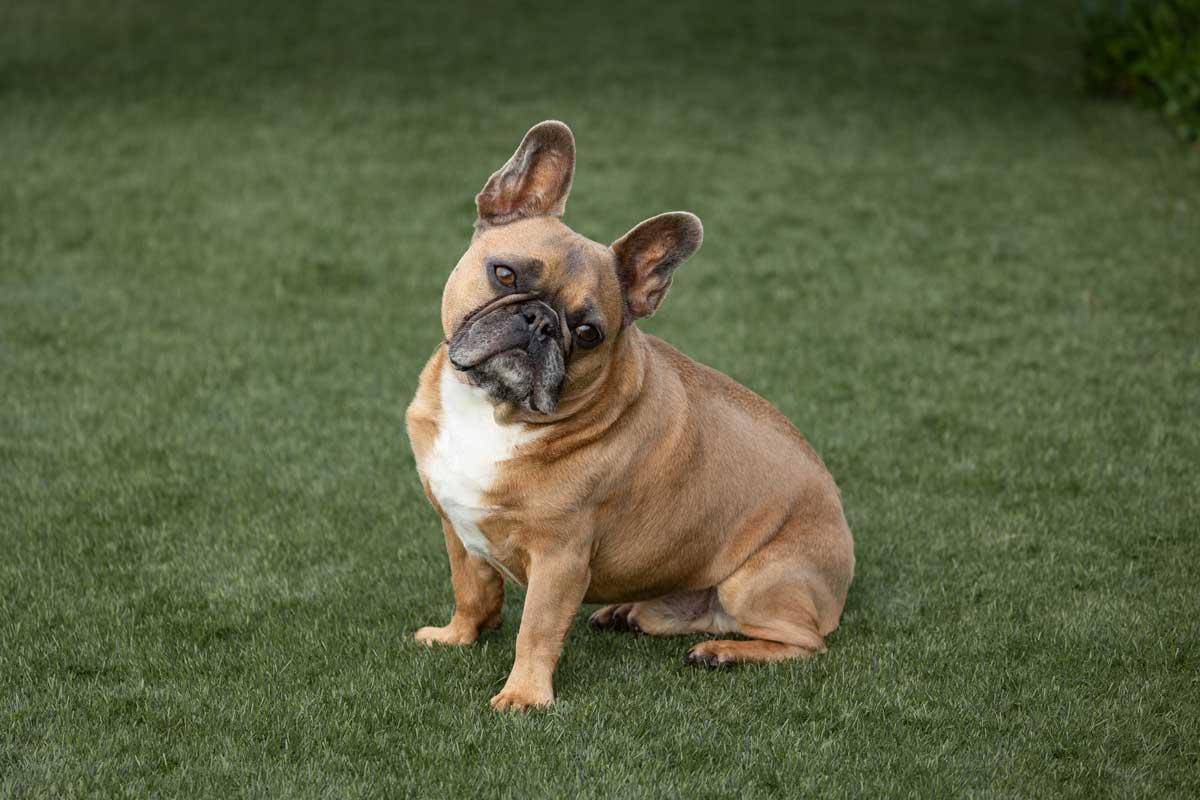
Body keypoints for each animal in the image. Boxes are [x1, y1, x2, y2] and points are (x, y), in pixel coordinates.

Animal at [405, 122, 854, 710]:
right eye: (503, 274)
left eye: (589, 333)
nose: (540, 321)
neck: (496, 411)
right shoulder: (456, 527)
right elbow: (472, 591)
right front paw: (457, 637)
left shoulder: (560, 560)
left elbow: (536, 629)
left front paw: (525, 695)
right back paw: (632, 614)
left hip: (756, 581)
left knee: (804, 643)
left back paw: (725, 652)